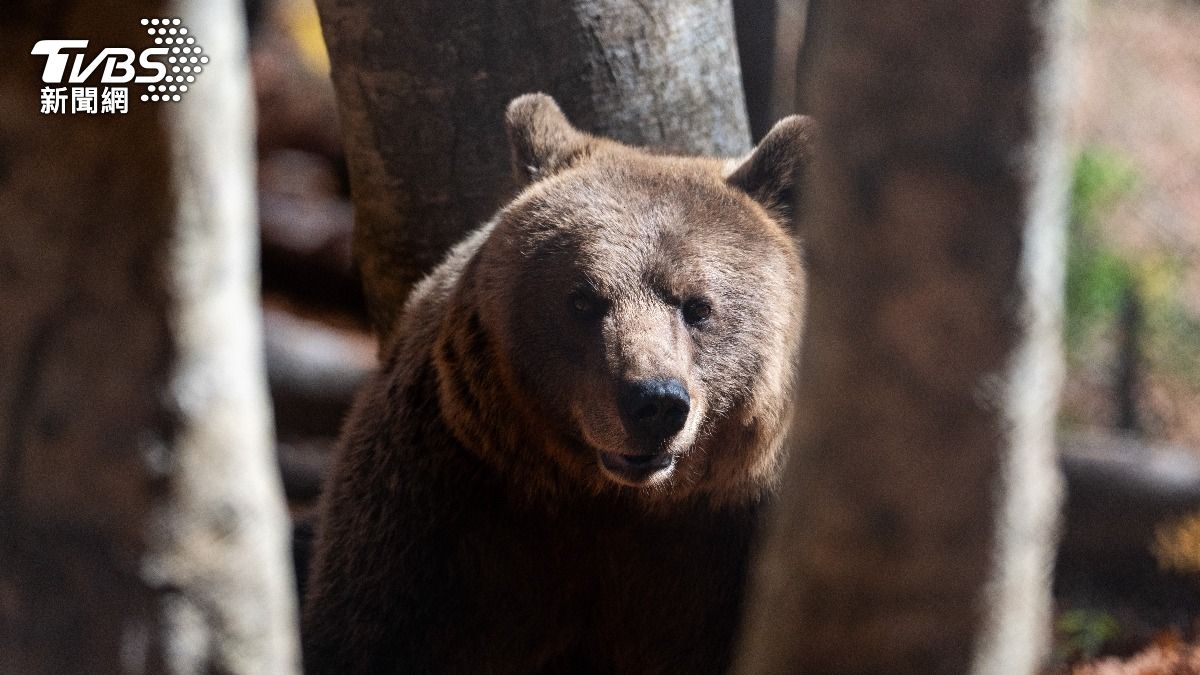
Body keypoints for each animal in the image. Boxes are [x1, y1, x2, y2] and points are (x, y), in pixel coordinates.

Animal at [302, 93, 813, 674]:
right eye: (583, 299)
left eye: (697, 306)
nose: (654, 402)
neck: (618, 501)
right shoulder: (439, 509)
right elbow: (373, 627)